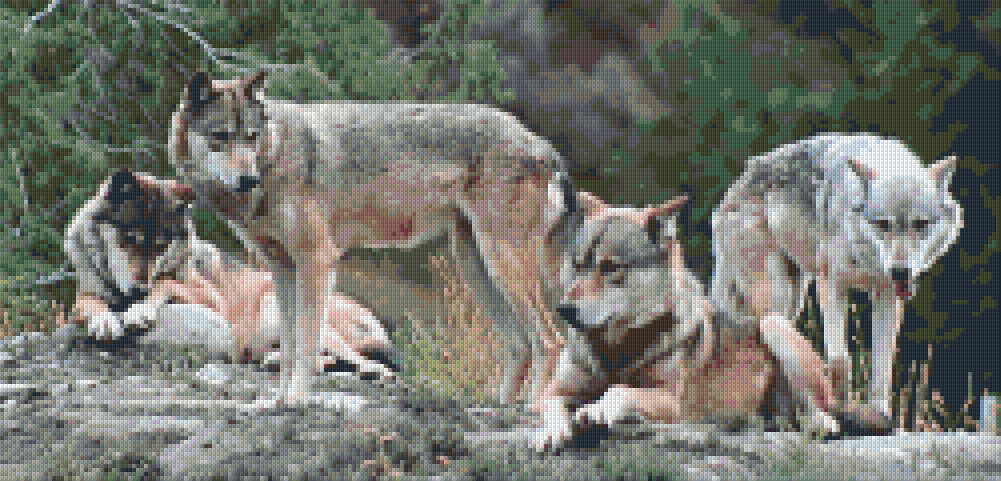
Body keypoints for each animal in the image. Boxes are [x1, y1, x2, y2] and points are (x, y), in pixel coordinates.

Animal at [63, 170, 399, 376]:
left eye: (160, 245)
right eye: (130, 239)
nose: (137, 291)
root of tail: (375, 321)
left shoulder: (210, 298)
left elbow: (166, 281)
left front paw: (138, 311)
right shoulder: (83, 296)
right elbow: (89, 304)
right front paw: (104, 320)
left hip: (276, 308)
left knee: (363, 362)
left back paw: (369, 371)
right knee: (322, 359)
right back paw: (278, 360)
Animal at [168, 71, 574, 406]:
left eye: (251, 138)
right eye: (221, 137)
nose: (247, 179)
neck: (277, 155)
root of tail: (538, 140)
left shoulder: (317, 261)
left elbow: (306, 345)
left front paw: (297, 401)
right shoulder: (282, 270)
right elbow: (290, 346)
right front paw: (279, 401)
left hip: (500, 263)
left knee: (551, 340)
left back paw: (534, 412)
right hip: (474, 266)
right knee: (521, 345)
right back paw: (498, 408)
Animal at [536, 184, 888, 452]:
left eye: (610, 267)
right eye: (578, 265)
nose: (564, 310)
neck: (615, 351)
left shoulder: (673, 402)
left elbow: (618, 391)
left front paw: (596, 409)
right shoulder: (553, 391)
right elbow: (549, 405)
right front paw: (551, 432)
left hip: (773, 323)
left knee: (828, 417)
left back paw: (813, 423)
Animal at [711, 133, 962, 418]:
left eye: (920, 224)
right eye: (883, 224)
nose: (900, 270)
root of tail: (731, 193)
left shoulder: (887, 296)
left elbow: (882, 363)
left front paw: (878, 413)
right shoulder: (831, 286)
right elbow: (840, 361)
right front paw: (843, 406)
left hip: (793, 300)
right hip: (775, 299)